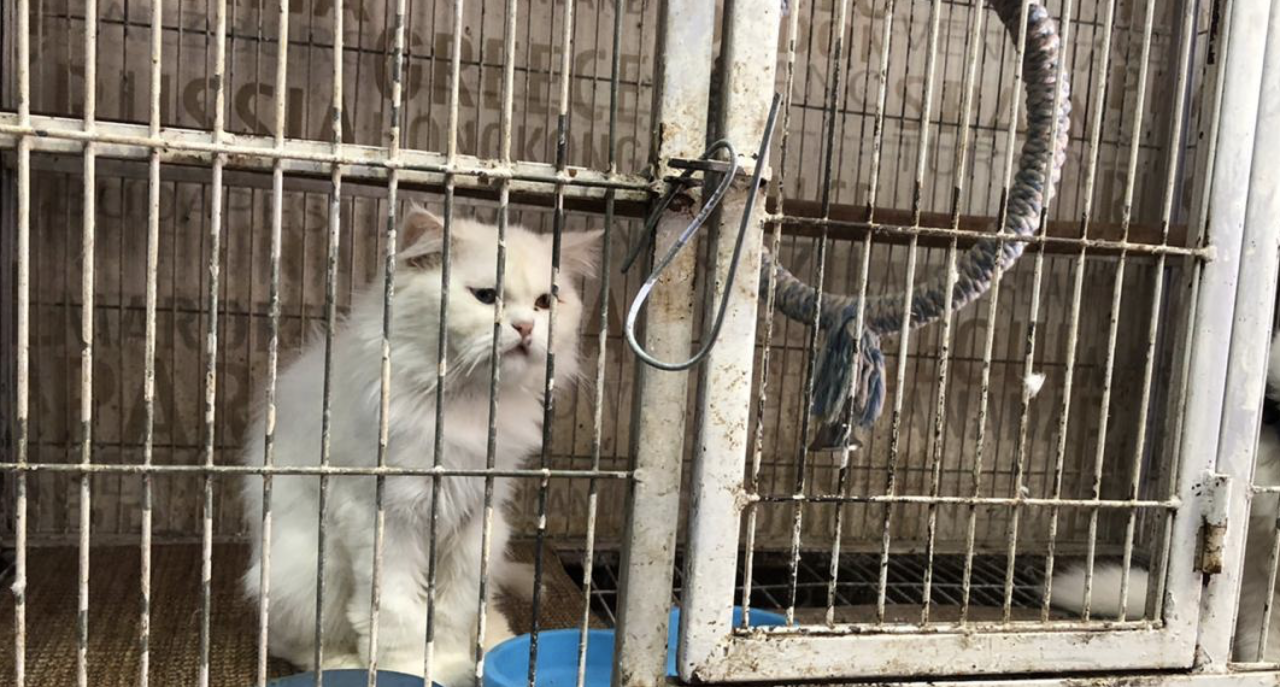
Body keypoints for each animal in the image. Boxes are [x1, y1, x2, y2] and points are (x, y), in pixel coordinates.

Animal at [239, 205, 599, 680]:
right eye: (486, 296)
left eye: (545, 302)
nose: (525, 328)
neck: (466, 406)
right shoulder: (386, 519)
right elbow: (395, 612)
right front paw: (412, 671)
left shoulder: (472, 519)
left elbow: (450, 610)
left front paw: (451, 665)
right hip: (303, 575)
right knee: (295, 644)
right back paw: (341, 662)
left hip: (495, 539)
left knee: (484, 609)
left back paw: (494, 640)